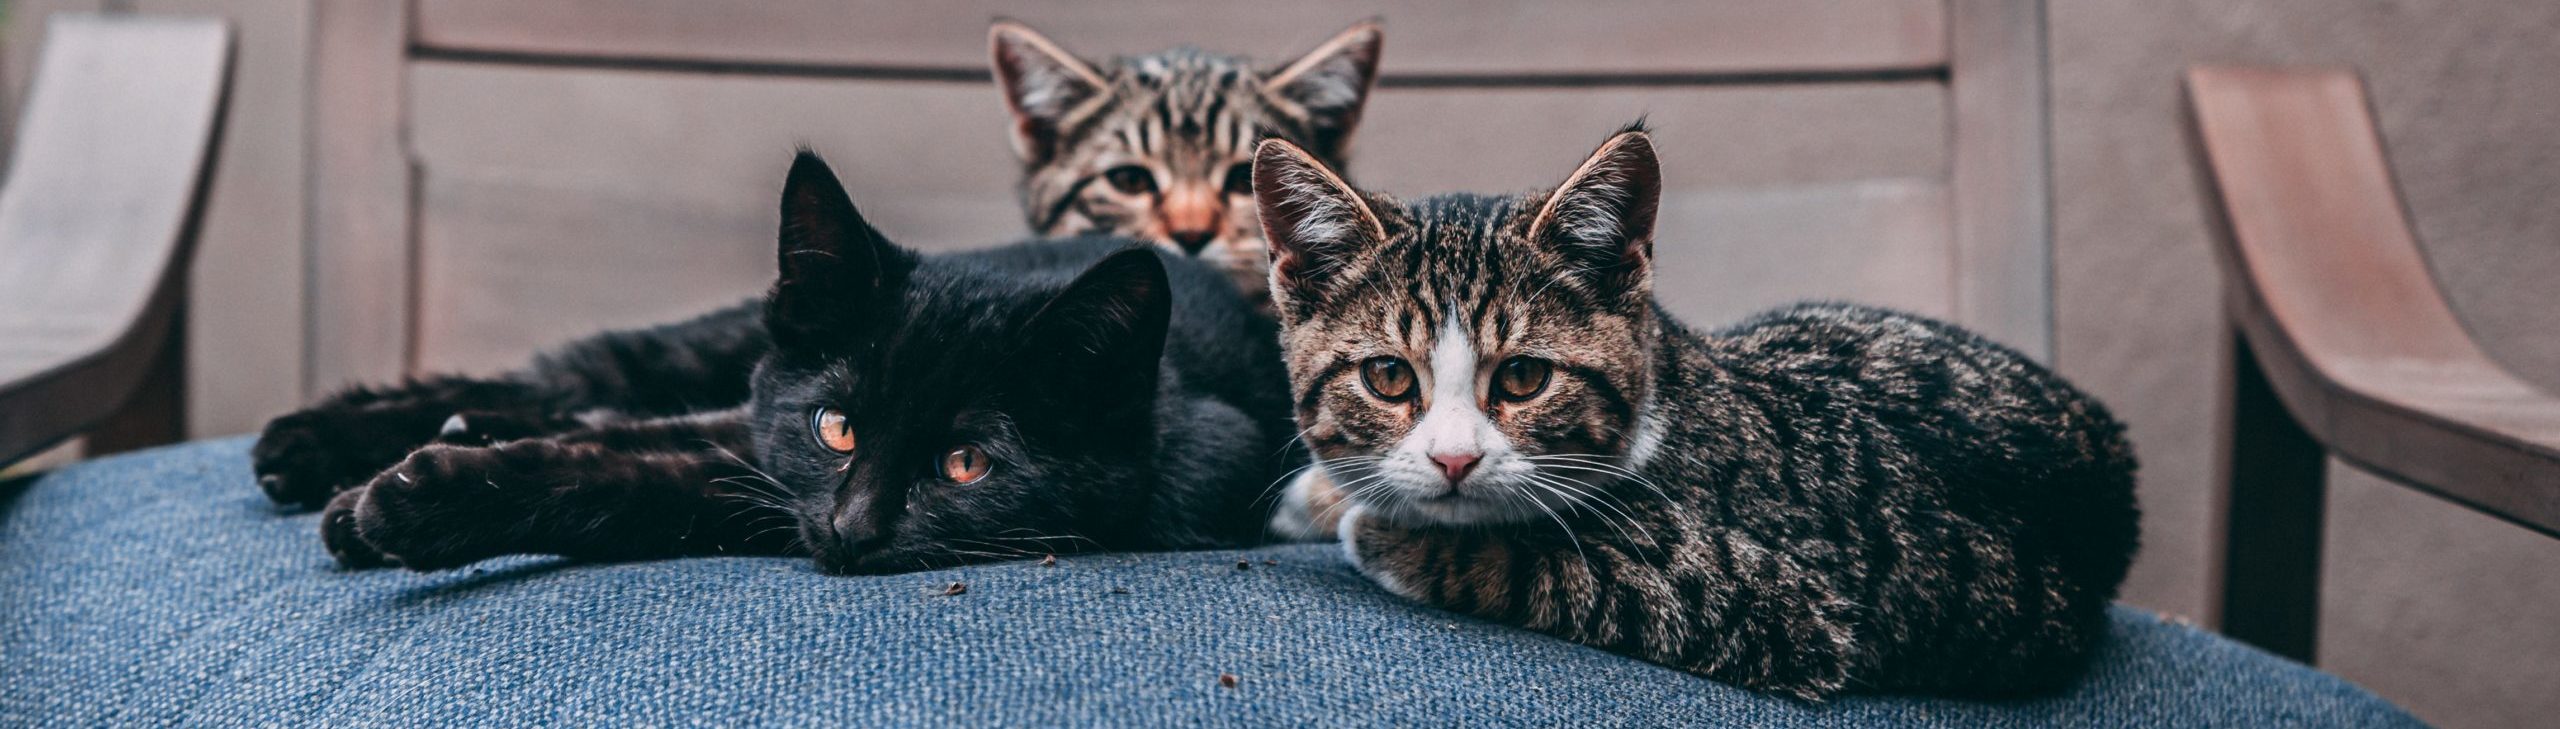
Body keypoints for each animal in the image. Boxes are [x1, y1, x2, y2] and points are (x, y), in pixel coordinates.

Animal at [275, 154, 1300, 572]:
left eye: (967, 463)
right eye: (835, 427)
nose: (852, 528)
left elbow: (633, 477)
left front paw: (402, 506)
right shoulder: (766, 429)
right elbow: (639, 439)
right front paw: (376, 499)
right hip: (725, 339)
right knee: (586, 377)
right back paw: (304, 443)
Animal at [1249, 127, 2150, 695]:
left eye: (1526, 377)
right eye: (1388, 377)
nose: (1454, 460)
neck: (1665, 396)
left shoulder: (1781, 601)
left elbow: (1533, 560)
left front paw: (1380, 528)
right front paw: (1328, 492)